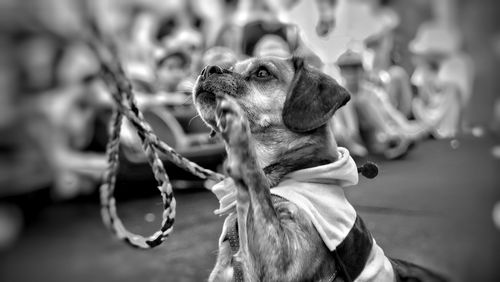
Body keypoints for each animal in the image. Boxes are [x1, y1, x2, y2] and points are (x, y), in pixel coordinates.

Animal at [191, 56, 446, 280]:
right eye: (232, 67)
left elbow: (255, 183)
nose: (207, 69)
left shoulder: (283, 264)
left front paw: (237, 137)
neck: (290, 171)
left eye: (262, 73)